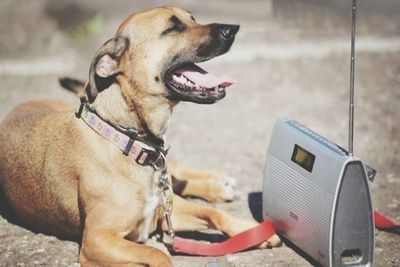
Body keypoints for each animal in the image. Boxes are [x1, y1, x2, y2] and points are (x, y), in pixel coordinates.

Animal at [0, 7, 278, 266]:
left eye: (193, 18)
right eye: (172, 28)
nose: (233, 29)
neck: (126, 139)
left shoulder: (166, 208)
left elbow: (214, 214)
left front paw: (252, 231)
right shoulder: (97, 241)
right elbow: (159, 255)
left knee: (178, 173)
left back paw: (217, 183)